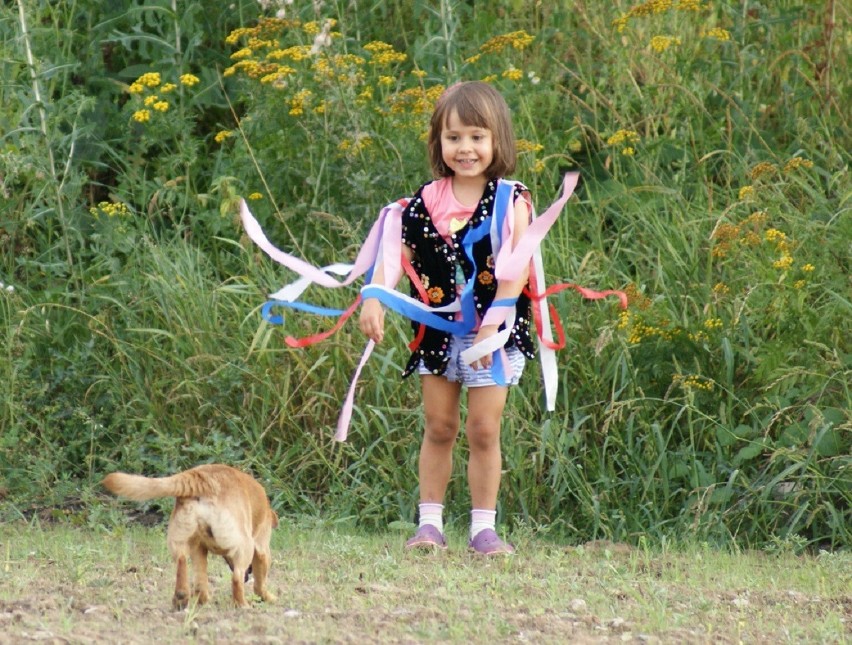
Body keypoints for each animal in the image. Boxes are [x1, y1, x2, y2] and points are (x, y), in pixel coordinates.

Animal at [102, 462, 278, 608]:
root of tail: (201, 477)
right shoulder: (262, 548)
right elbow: (260, 582)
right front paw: (268, 597)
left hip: (186, 544)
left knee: (188, 571)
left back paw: (184, 599)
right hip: (245, 547)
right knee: (236, 578)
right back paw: (242, 605)